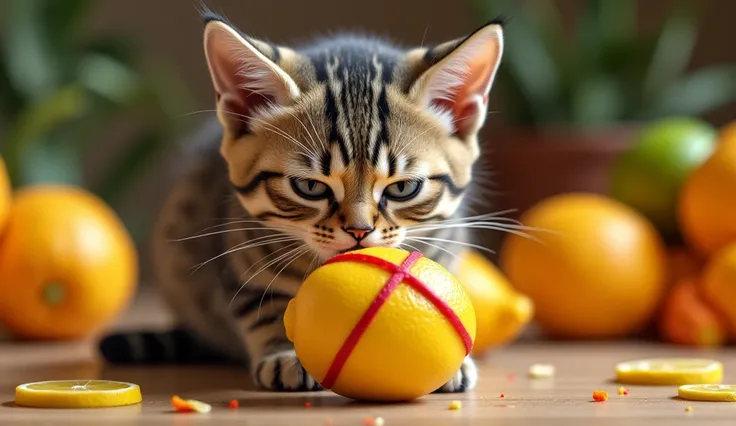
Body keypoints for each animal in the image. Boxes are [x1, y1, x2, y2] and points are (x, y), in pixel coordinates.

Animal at [100, 10, 504, 394]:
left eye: (403, 188)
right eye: (310, 187)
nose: (359, 231)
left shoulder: (448, 238)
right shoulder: (240, 250)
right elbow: (262, 304)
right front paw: (284, 353)